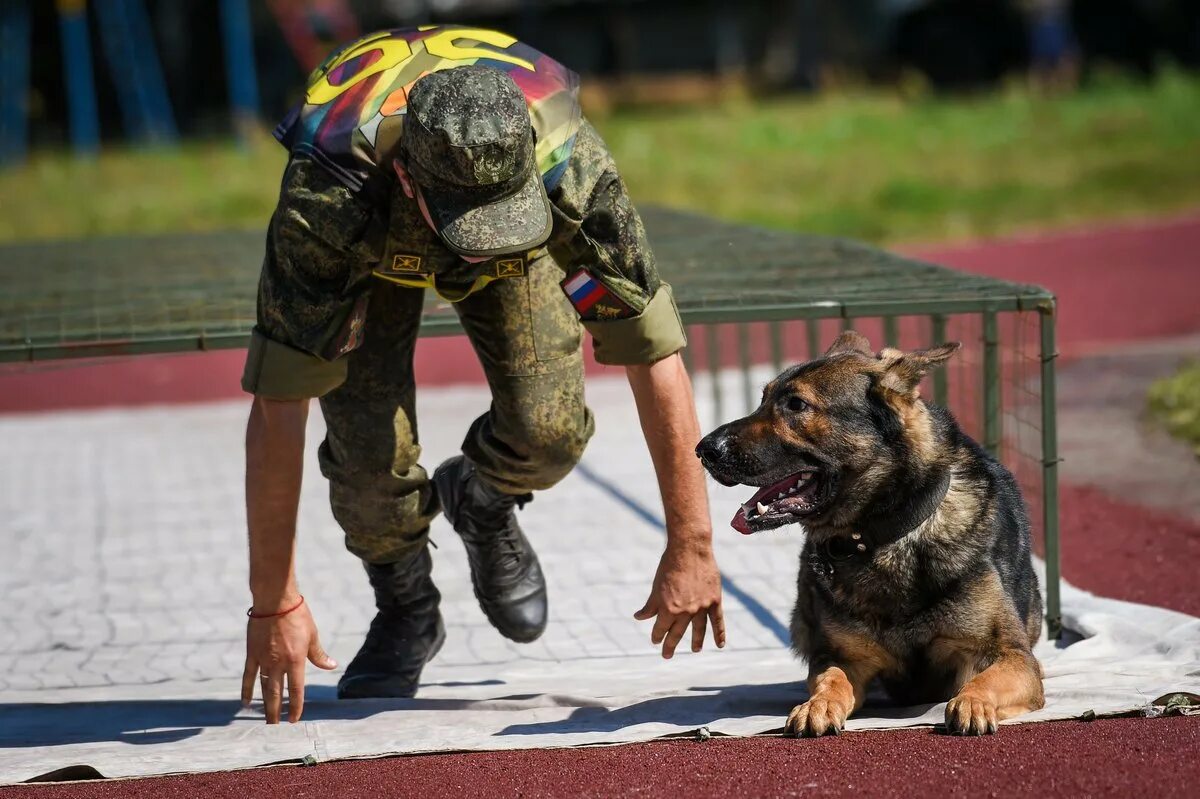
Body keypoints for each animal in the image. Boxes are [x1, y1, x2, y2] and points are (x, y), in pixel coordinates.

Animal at [700, 328, 1046, 734]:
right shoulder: (843, 657)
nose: (703, 449)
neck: (883, 538)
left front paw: (973, 702)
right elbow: (831, 679)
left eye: (796, 405)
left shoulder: (1014, 657)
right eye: (763, 399)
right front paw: (817, 705)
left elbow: (985, 679)